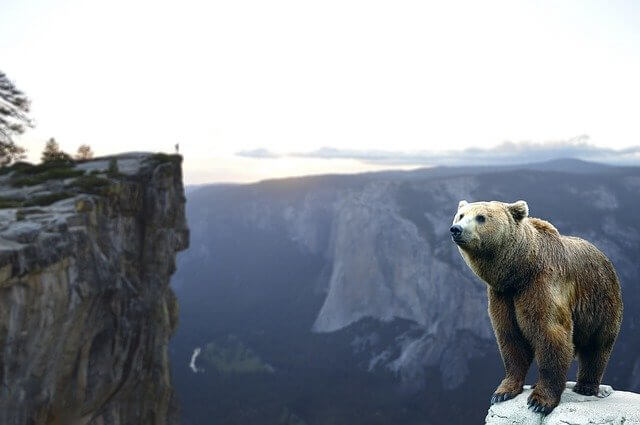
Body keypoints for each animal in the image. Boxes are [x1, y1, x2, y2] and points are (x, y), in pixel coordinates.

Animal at [450, 200, 623, 415]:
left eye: (481, 217)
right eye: (461, 215)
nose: (456, 229)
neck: (519, 271)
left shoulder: (541, 285)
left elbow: (550, 334)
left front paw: (539, 401)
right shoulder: (503, 296)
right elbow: (510, 338)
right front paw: (503, 392)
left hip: (600, 302)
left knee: (597, 345)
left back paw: (586, 386)